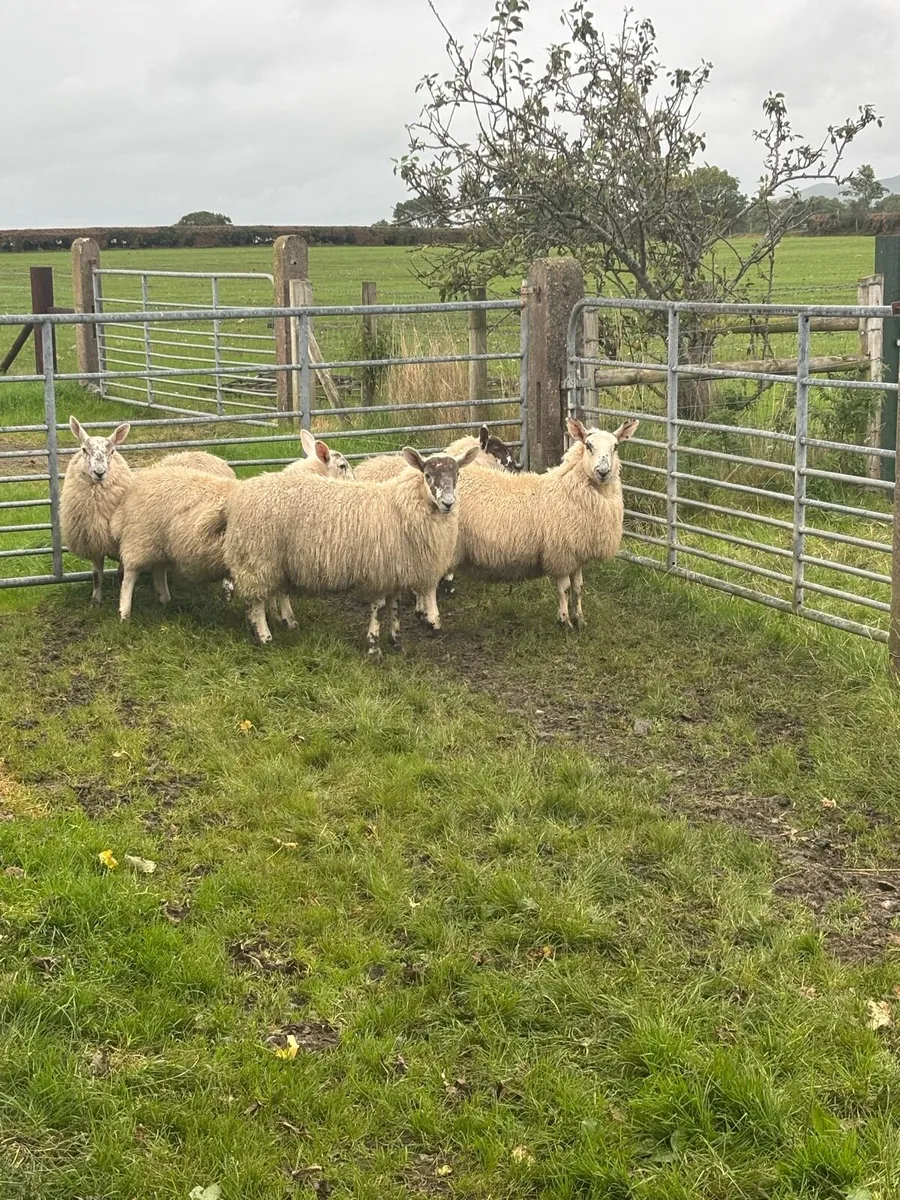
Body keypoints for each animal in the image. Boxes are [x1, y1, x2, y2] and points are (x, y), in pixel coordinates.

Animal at [60, 417, 132, 604]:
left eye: (112, 451)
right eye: (84, 449)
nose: (99, 473)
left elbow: (121, 574)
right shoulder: (94, 540)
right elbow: (96, 575)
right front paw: (96, 601)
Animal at [223, 444, 480, 652]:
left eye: (457, 474)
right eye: (427, 475)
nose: (448, 503)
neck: (399, 505)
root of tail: (242, 492)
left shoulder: (395, 570)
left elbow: (394, 607)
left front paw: (396, 641)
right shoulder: (379, 570)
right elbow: (379, 608)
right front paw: (374, 646)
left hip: (275, 559)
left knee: (274, 592)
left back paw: (285, 622)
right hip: (257, 557)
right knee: (256, 600)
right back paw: (264, 635)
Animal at [453, 416, 639, 628]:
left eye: (615, 446)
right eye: (588, 445)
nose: (603, 471)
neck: (568, 488)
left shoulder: (577, 553)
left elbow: (578, 587)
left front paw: (580, 619)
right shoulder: (561, 553)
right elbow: (564, 589)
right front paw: (565, 621)